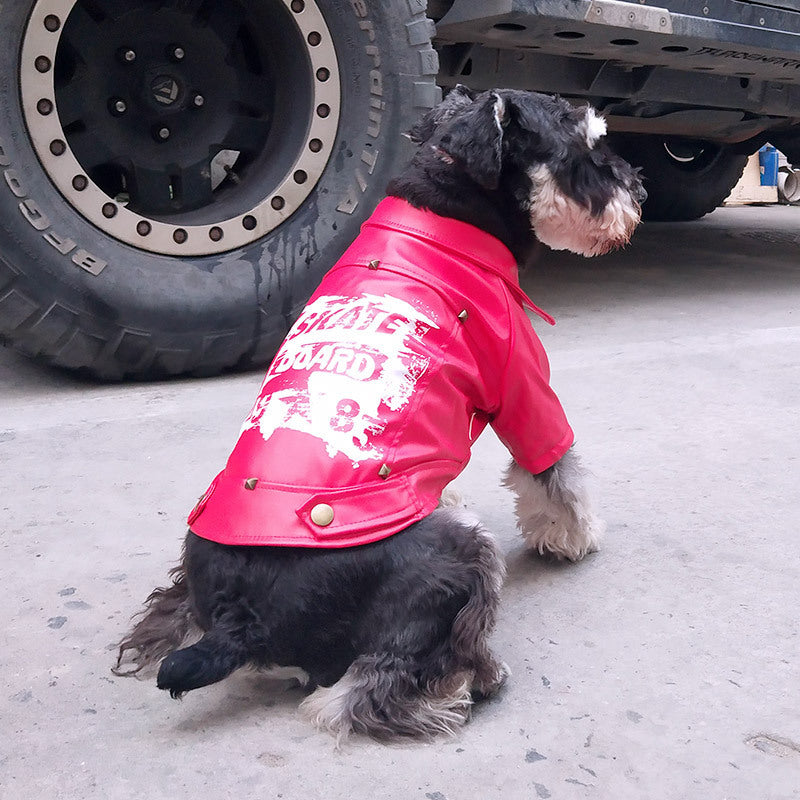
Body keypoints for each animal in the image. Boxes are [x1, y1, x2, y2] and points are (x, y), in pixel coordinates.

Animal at [115, 84, 648, 740]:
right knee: (358, 692)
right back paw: (464, 685)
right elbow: (555, 470)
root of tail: (241, 621)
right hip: (462, 552)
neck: (450, 210)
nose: (639, 196)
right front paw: (576, 536)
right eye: (584, 147)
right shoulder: (524, 387)